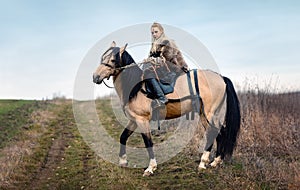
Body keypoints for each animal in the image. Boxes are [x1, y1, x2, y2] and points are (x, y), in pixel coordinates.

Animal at [92, 41, 240, 177]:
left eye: (112, 60)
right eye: (102, 57)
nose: (95, 77)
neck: (136, 88)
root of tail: (221, 78)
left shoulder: (142, 120)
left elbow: (148, 142)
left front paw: (151, 168)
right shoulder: (134, 120)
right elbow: (123, 137)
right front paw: (123, 161)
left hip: (209, 113)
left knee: (212, 133)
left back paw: (203, 163)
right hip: (206, 114)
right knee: (218, 133)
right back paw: (215, 161)